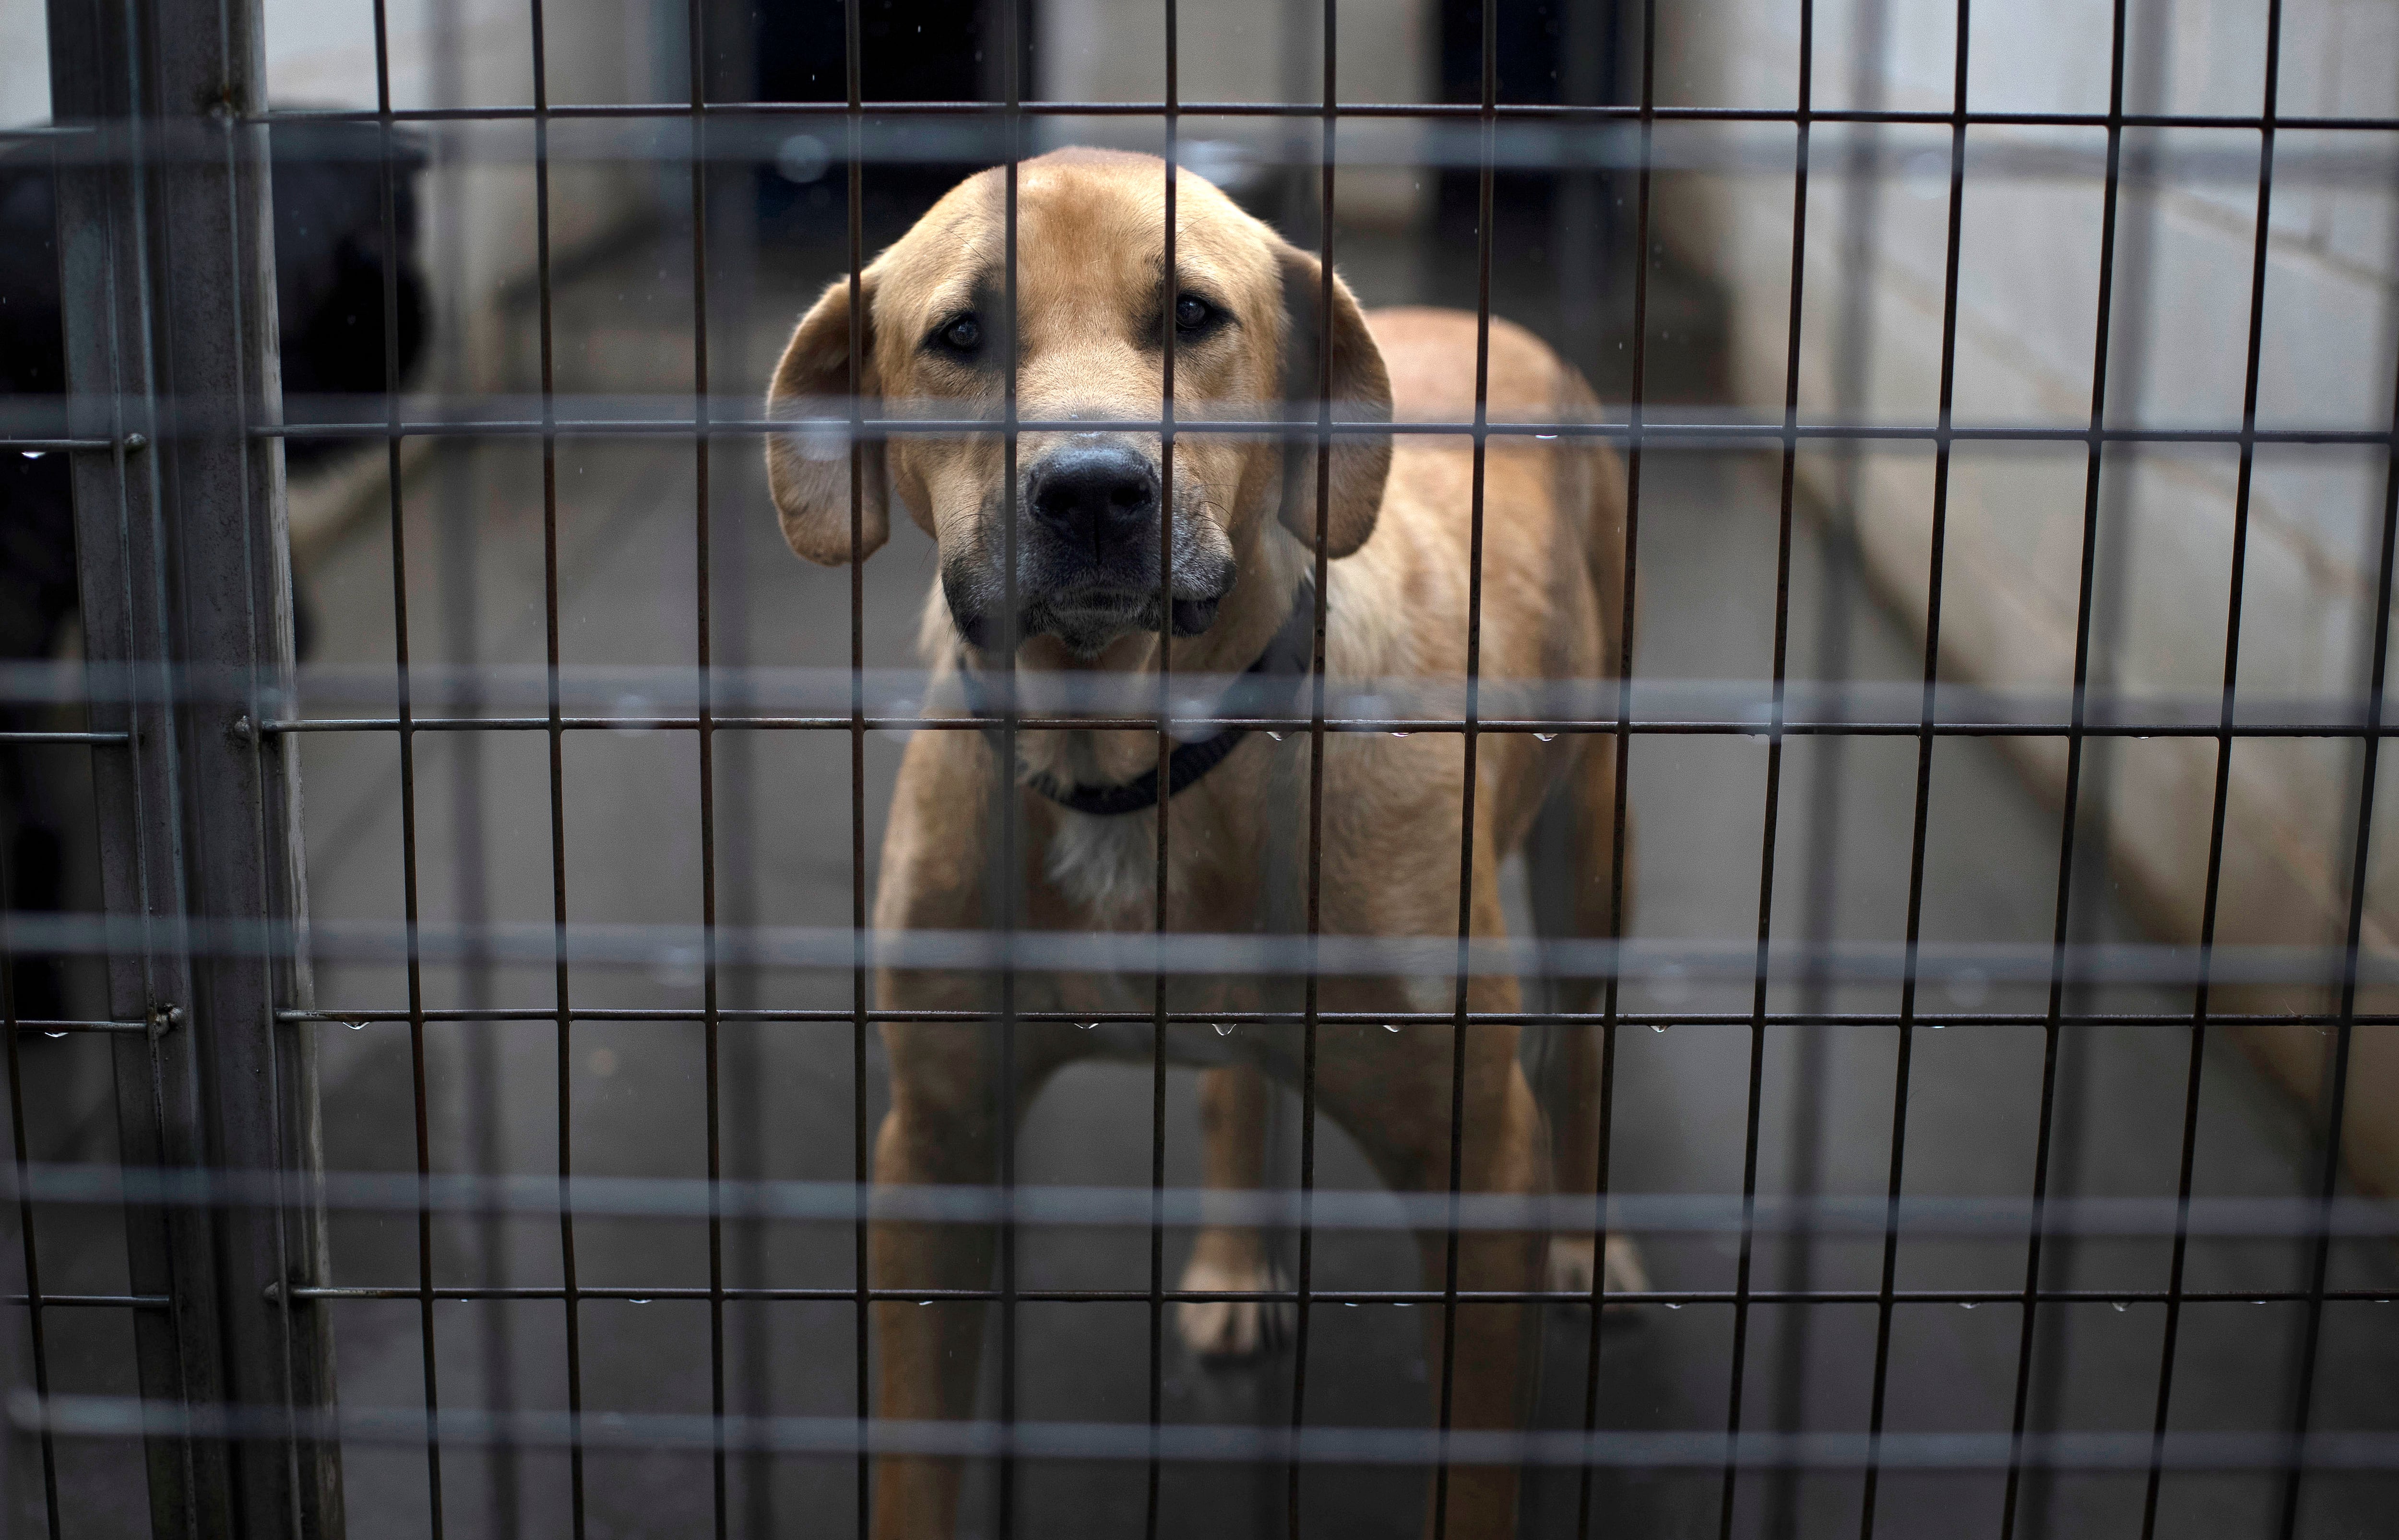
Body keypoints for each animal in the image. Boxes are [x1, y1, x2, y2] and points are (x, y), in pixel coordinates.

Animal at [768, 147, 1631, 1535]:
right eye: (960, 336)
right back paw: (1233, 1257)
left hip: (1595, 842)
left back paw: (1593, 1240)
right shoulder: (935, 1151)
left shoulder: (1480, 1156)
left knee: (1592, 1041)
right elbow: (914, 1462)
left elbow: (1476, 1469)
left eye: (1190, 316)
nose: (1093, 490)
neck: (1122, 759)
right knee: (1238, 1081)